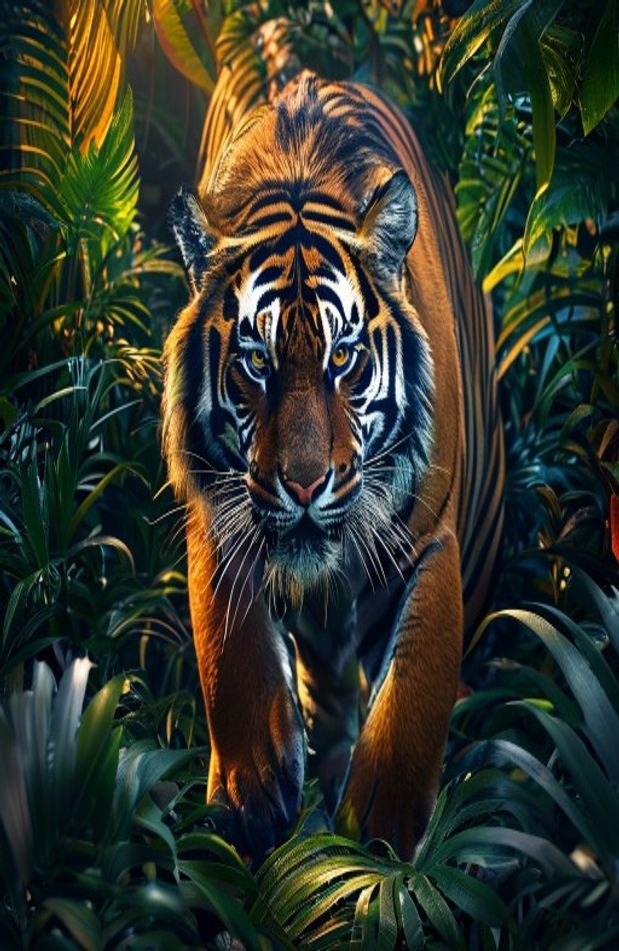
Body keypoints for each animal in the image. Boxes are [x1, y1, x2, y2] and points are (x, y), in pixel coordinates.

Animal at [162, 68, 504, 860]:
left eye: (342, 357)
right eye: (256, 362)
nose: (304, 482)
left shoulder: (427, 539)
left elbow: (415, 683)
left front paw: (379, 833)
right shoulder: (218, 517)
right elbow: (230, 651)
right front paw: (252, 792)